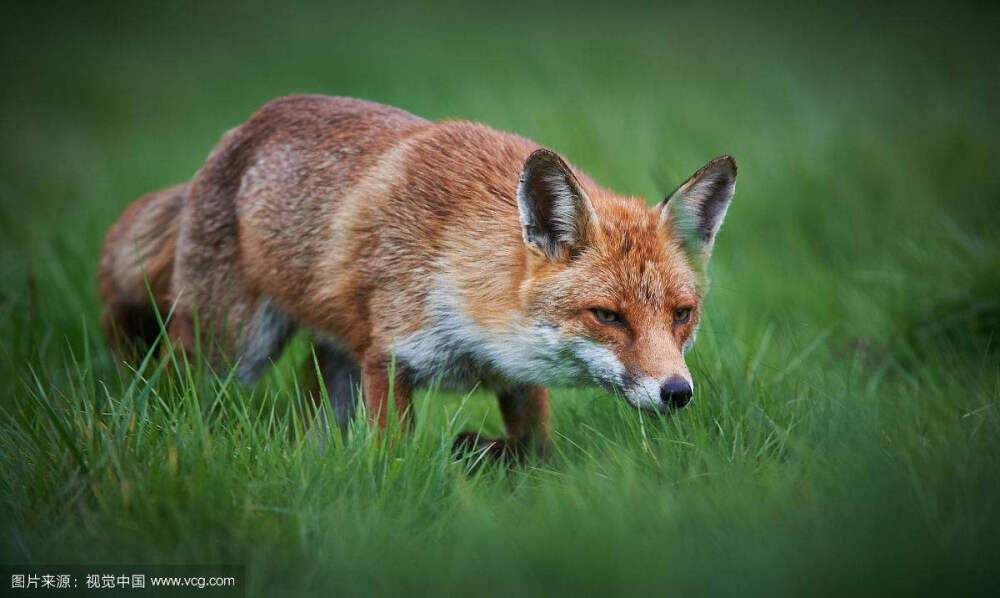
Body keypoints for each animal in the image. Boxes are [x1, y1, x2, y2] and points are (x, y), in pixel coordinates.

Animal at [99, 95, 736, 460]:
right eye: (607, 316)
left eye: (682, 315)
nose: (677, 393)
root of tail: (238, 131)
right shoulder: (389, 361)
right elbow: (393, 460)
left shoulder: (517, 377)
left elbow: (534, 447)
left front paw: (484, 455)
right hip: (229, 353)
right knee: (174, 400)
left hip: (333, 366)